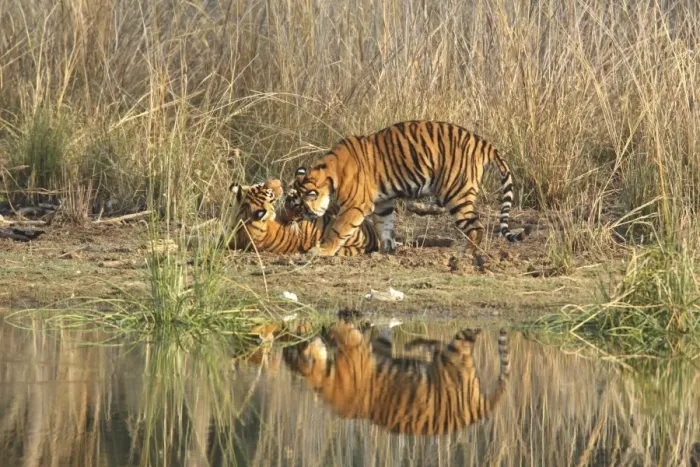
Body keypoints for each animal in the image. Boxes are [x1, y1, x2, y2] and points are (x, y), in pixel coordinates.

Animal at [283, 318, 510, 435]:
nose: (302, 329)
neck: (323, 378)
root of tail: (480, 411)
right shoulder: (362, 352)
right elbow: (350, 332)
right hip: (454, 351)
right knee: (458, 339)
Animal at [292, 120, 530, 256]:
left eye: (300, 206)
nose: (298, 220)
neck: (329, 173)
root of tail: (483, 143)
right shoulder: (383, 203)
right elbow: (385, 226)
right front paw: (385, 251)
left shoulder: (355, 205)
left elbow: (338, 228)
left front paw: (321, 250)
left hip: (456, 192)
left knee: (476, 226)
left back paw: (466, 254)